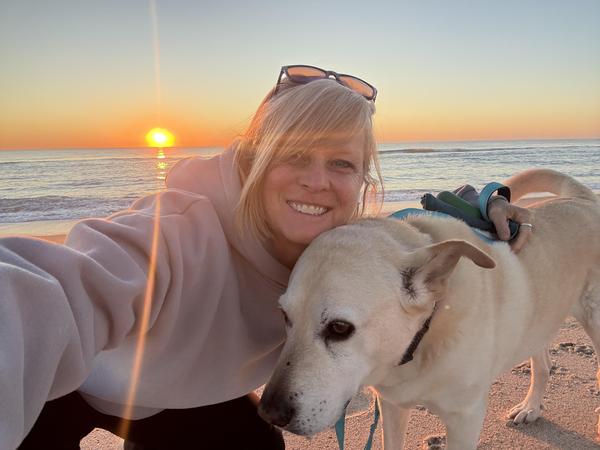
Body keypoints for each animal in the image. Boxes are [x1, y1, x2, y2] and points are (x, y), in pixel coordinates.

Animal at [258, 169, 600, 449]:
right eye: (285, 317)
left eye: (340, 328)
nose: (268, 413)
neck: (426, 335)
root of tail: (582, 199)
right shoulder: (392, 406)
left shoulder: (465, 420)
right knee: (543, 364)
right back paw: (530, 407)